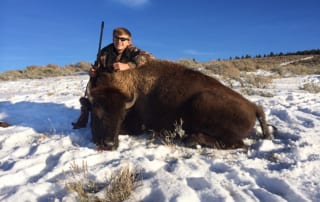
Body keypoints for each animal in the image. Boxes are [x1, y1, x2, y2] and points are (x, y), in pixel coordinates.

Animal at [87, 59, 270, 150]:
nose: (109, 145)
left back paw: (192, 139)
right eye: (96, 113)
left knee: (236, 143)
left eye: (121, 116)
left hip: (200, 102)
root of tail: (253, 107)